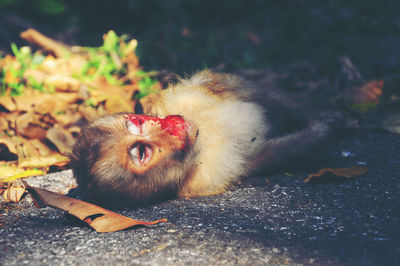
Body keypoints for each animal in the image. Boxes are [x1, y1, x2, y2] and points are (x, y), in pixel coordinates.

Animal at [69, 69, 334, 207]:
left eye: (138, 124)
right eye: (143, 153)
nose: (167, 128)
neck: (200, 142)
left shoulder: (183, 97)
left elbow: (242, 89)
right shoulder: (208, 178)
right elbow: (265, 157)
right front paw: (324, 132)